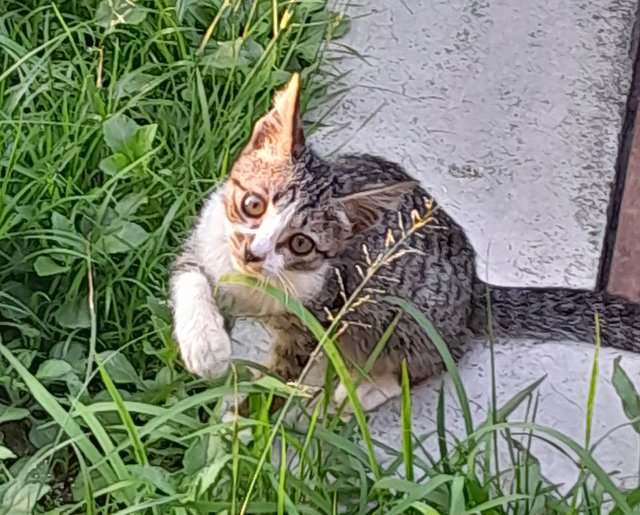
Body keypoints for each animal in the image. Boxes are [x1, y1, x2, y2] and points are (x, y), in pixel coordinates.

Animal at [169, 72, 640, 414]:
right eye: (253, 204)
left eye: (301, 244)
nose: (254, 253)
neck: (253, 284)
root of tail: (472, 285)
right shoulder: (208, 237)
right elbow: (187, 275)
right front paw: (205, 344)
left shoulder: (319, 313)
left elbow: (283, 372)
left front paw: (240, 423)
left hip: (397, 308)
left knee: (444, 352)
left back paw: (365, 391)